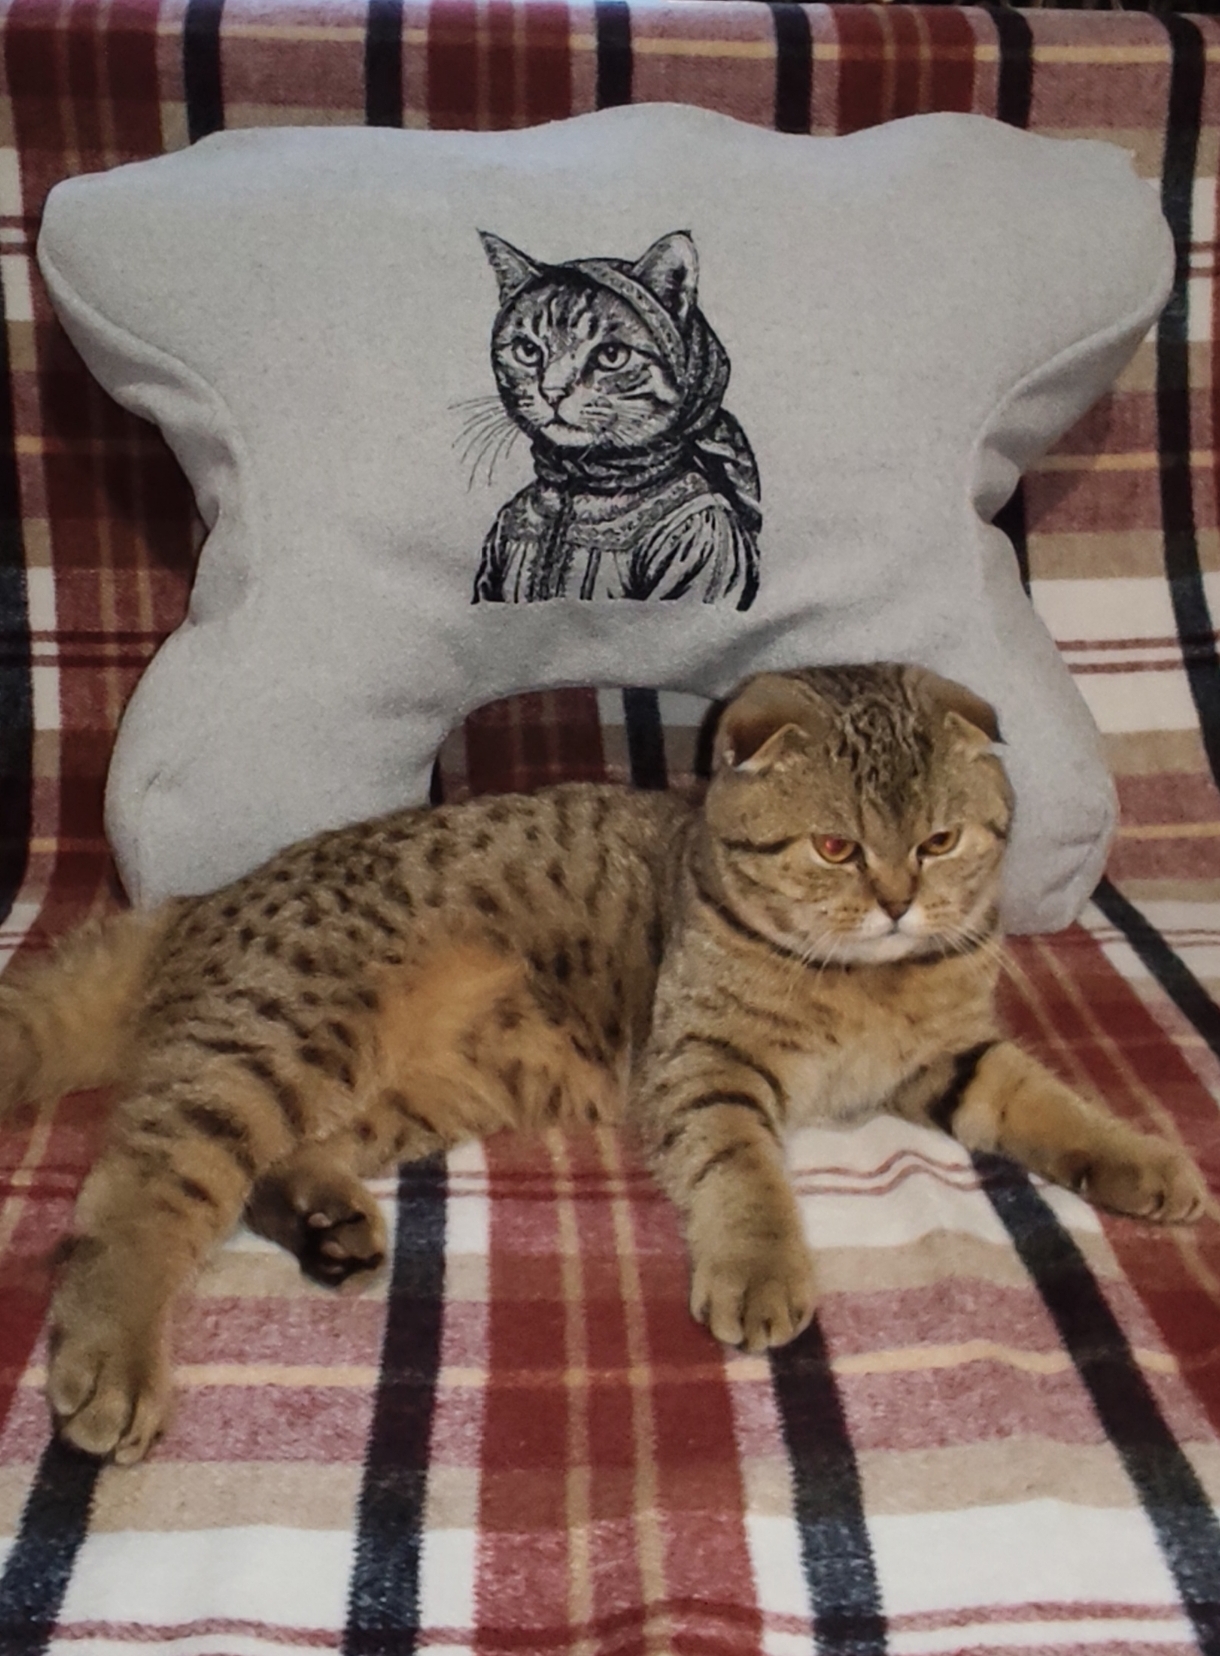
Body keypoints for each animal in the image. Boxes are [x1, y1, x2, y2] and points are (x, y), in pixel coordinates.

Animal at [0, 663, 1206, 1464]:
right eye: (835, 848)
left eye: (940, 841)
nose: (901, 901)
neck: (868, 981)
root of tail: (195, 905)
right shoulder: (708, 1067)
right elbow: (746, 1177)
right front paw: (761, 1271)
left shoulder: (953, 1058)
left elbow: (1053, 1105)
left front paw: (1146, 1162)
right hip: (284, 1041)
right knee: (132, 1195)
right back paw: (114, 1362)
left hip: (410, 1089)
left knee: (270, 1168)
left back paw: (325, 1220)